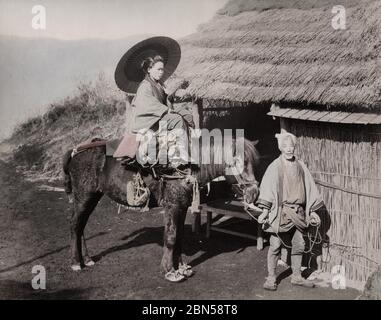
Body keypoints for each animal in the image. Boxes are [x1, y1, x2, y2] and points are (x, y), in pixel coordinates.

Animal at [62, 136, 260, 282]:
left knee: (81, 225)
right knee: (74, 225)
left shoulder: (181, 207)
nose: (254, 193)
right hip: (84, 196)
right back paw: (75, 262)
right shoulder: (172, 206)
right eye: (239, 161)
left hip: (92, 196)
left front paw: (181, 267)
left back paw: (87, 259)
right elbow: (171, 238)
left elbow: (179, 237)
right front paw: (168, 271)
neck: (185, 169)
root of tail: (76, 151)